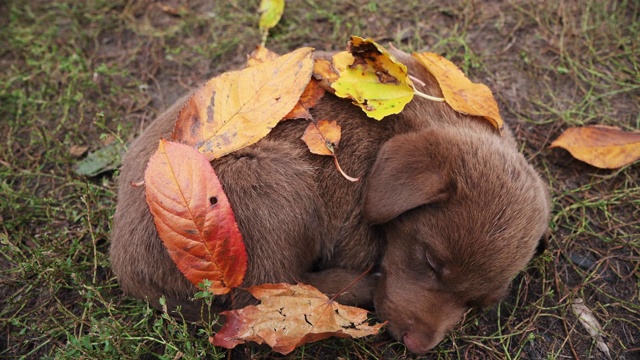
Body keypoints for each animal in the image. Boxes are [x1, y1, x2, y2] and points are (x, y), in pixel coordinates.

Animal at [110, 48, 552, 354]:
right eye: (428, 261)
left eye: (478, 303)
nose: (417, 346)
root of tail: (128, 270)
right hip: (270, 186)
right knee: (262, 292)